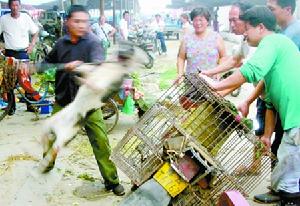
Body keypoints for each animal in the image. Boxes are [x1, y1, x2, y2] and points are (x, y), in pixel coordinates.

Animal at [38, 41, 149, 172]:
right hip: (50, 123)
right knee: (46, 138)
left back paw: (43, 164)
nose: (123, 52)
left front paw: (81, 80)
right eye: (123, 45)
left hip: (64, 135)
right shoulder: (92, 70)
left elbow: (95, 86)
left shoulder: (104, 86)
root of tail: (57, 129)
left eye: (131, 49)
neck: (116, 66)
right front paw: (75, 69)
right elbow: (84, 69)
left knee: (54, 149)